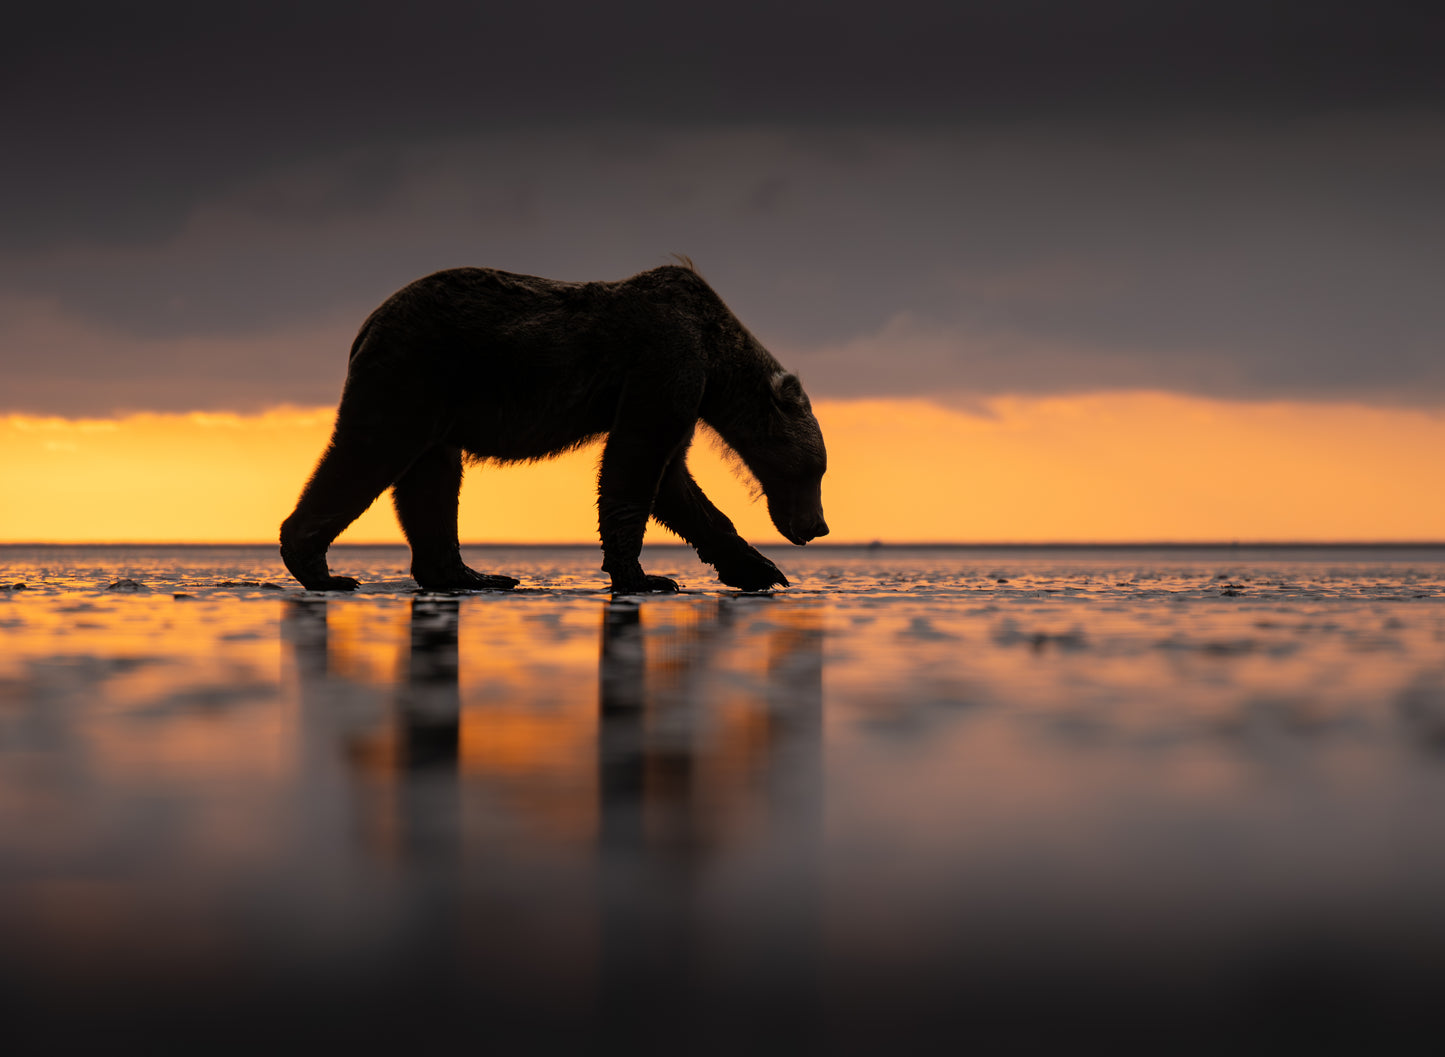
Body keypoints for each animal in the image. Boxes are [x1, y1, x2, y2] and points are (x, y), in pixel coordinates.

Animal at [279, 262, 829, 594]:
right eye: (816, 471)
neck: (716, 361)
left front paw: (761, 570)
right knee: (368, 453)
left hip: (438, 401)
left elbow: (674, 483)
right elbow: (636, 461)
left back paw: (473, 574)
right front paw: (645, 577)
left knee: (431, 480)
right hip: (413, 373)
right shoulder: (665, 363)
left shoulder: (681, 391)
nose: (817, 527)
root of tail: (366, 324)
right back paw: (322, 570)